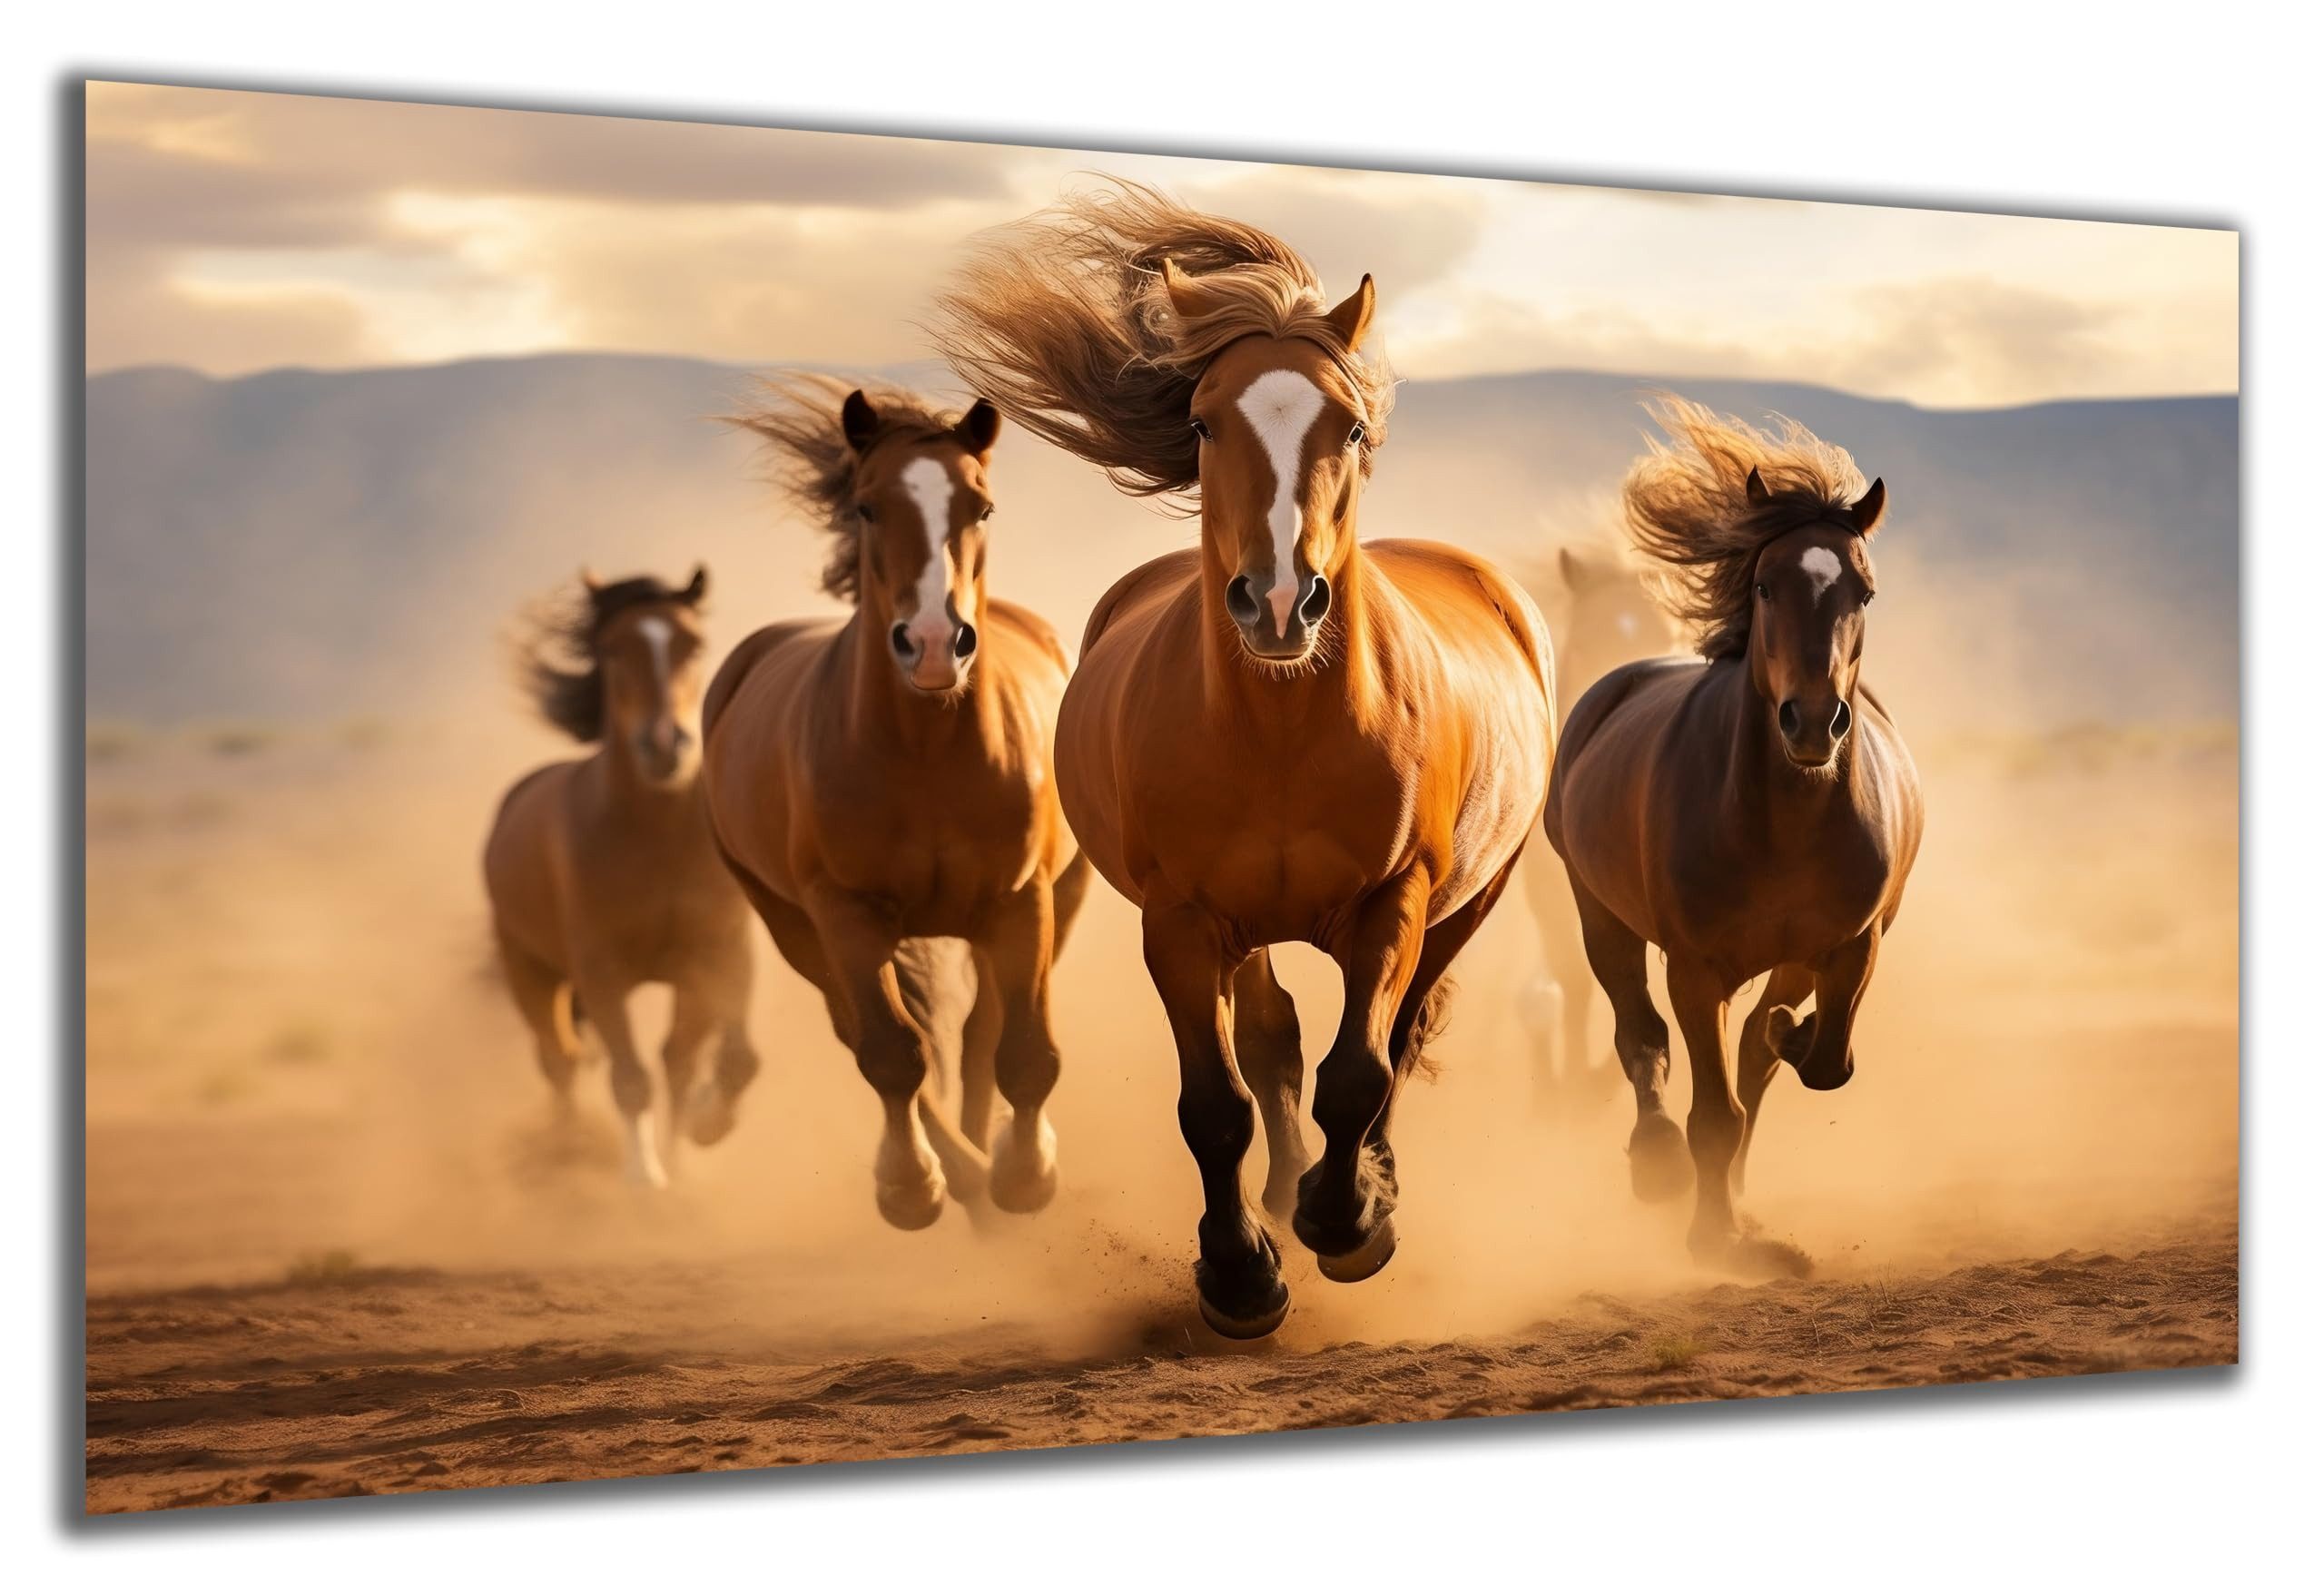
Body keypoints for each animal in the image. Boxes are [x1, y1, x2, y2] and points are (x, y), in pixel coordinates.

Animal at [483, 566, 761, 1187]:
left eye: (694, 644)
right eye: (612, 648)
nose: (664, 745)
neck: (657, 838)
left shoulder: (717, 958)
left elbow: (724, 1060)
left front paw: (699, 1136)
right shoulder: (601, 972)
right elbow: (630, 1077)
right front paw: (644, 1180)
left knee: (668, 1061)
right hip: (529, 972)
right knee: (559, 1060)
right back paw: (567, 1154)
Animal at [701, 375, 1088, 1230]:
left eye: (982, 506)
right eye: (869, 506)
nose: (935, 642)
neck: (924, 752)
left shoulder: (1022, 902)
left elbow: (1023, 1051)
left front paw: (1028, 1173)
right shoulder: (844, 914)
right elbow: (891, 1052)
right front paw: (913, 1186)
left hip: (1063, 897)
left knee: (979, 1035)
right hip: (789, 922)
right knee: (864, 1033)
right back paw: (957, 1173)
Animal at [934, 181, 1555, 1338]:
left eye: (1348, 424)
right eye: (1200, 419)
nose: (1277, 602)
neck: (1281, 733)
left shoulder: (1394, 904)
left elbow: (1358, 1072)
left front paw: (1347, 1222)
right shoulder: (1181, 920)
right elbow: (1217, 1102)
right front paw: (1240, 1274)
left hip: (1468, 901)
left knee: (1398, 1036)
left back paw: (1355, 1189)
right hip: (1249, 929)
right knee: (1271, 1043)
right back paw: (1282, 1190)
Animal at [1545, 398, 1924, 1276]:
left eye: (1864, 591)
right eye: (1764, 584)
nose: (1812, 721)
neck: (1784, 822)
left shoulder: (1849, 945)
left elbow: (1819, 1062)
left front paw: (1791, 1037)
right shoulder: (1695, 969)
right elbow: (1709, 1107)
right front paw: (1710, 1236)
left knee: (1751, 1056)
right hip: (1599, 915)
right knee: (1638, 1035)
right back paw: (1655, 1162)